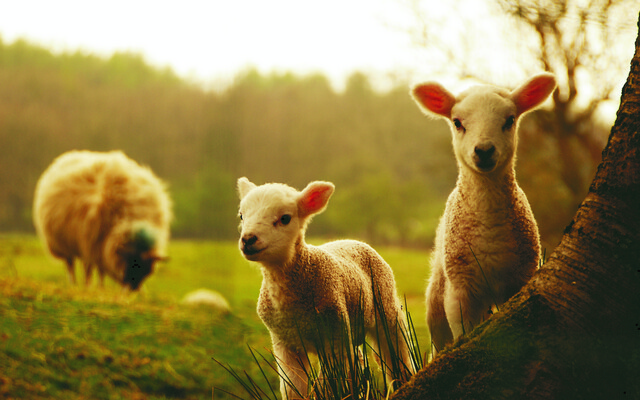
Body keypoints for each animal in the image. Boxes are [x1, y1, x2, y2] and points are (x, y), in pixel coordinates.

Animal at [32, 150, 172, 290]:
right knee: (70, 265)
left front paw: (101, 288)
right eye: (130, 262)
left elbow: (101, 270)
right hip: (63, 243)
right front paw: (89, 286)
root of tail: (70, 155)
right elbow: (90, 269)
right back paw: (74, 283)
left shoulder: (101, 245)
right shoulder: (91, 242)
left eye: (146, 270)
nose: (132, 289)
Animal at [238, 178, 412, 400]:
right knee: (358, 360)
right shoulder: (285, 343)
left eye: (285, 218)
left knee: (397, 355)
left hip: (386, 308)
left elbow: (329, 385)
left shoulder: (334, 335)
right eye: (242, 216)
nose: (248, 240)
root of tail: (352, 240)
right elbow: (293, 388)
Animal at [412, 73, 556, 354]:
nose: (484, 150)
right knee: (438, 342)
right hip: (437, 296)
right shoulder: (460, 291)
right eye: (457, 122)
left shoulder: (519, 280)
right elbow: (462, 334)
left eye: (510, 120)